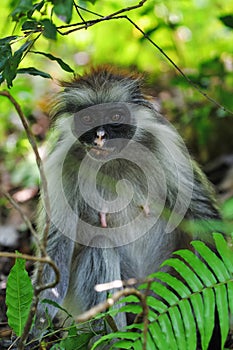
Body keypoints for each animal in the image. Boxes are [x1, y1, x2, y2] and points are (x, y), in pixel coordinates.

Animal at [34, 66, 222, 342]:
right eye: (88, 119)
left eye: (114, 116)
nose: (101, 136)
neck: (112, 161)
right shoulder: (62, 162)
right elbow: (57, 247)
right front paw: (32, 329)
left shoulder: (164, 143)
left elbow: (201, 214)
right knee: (100, 245)